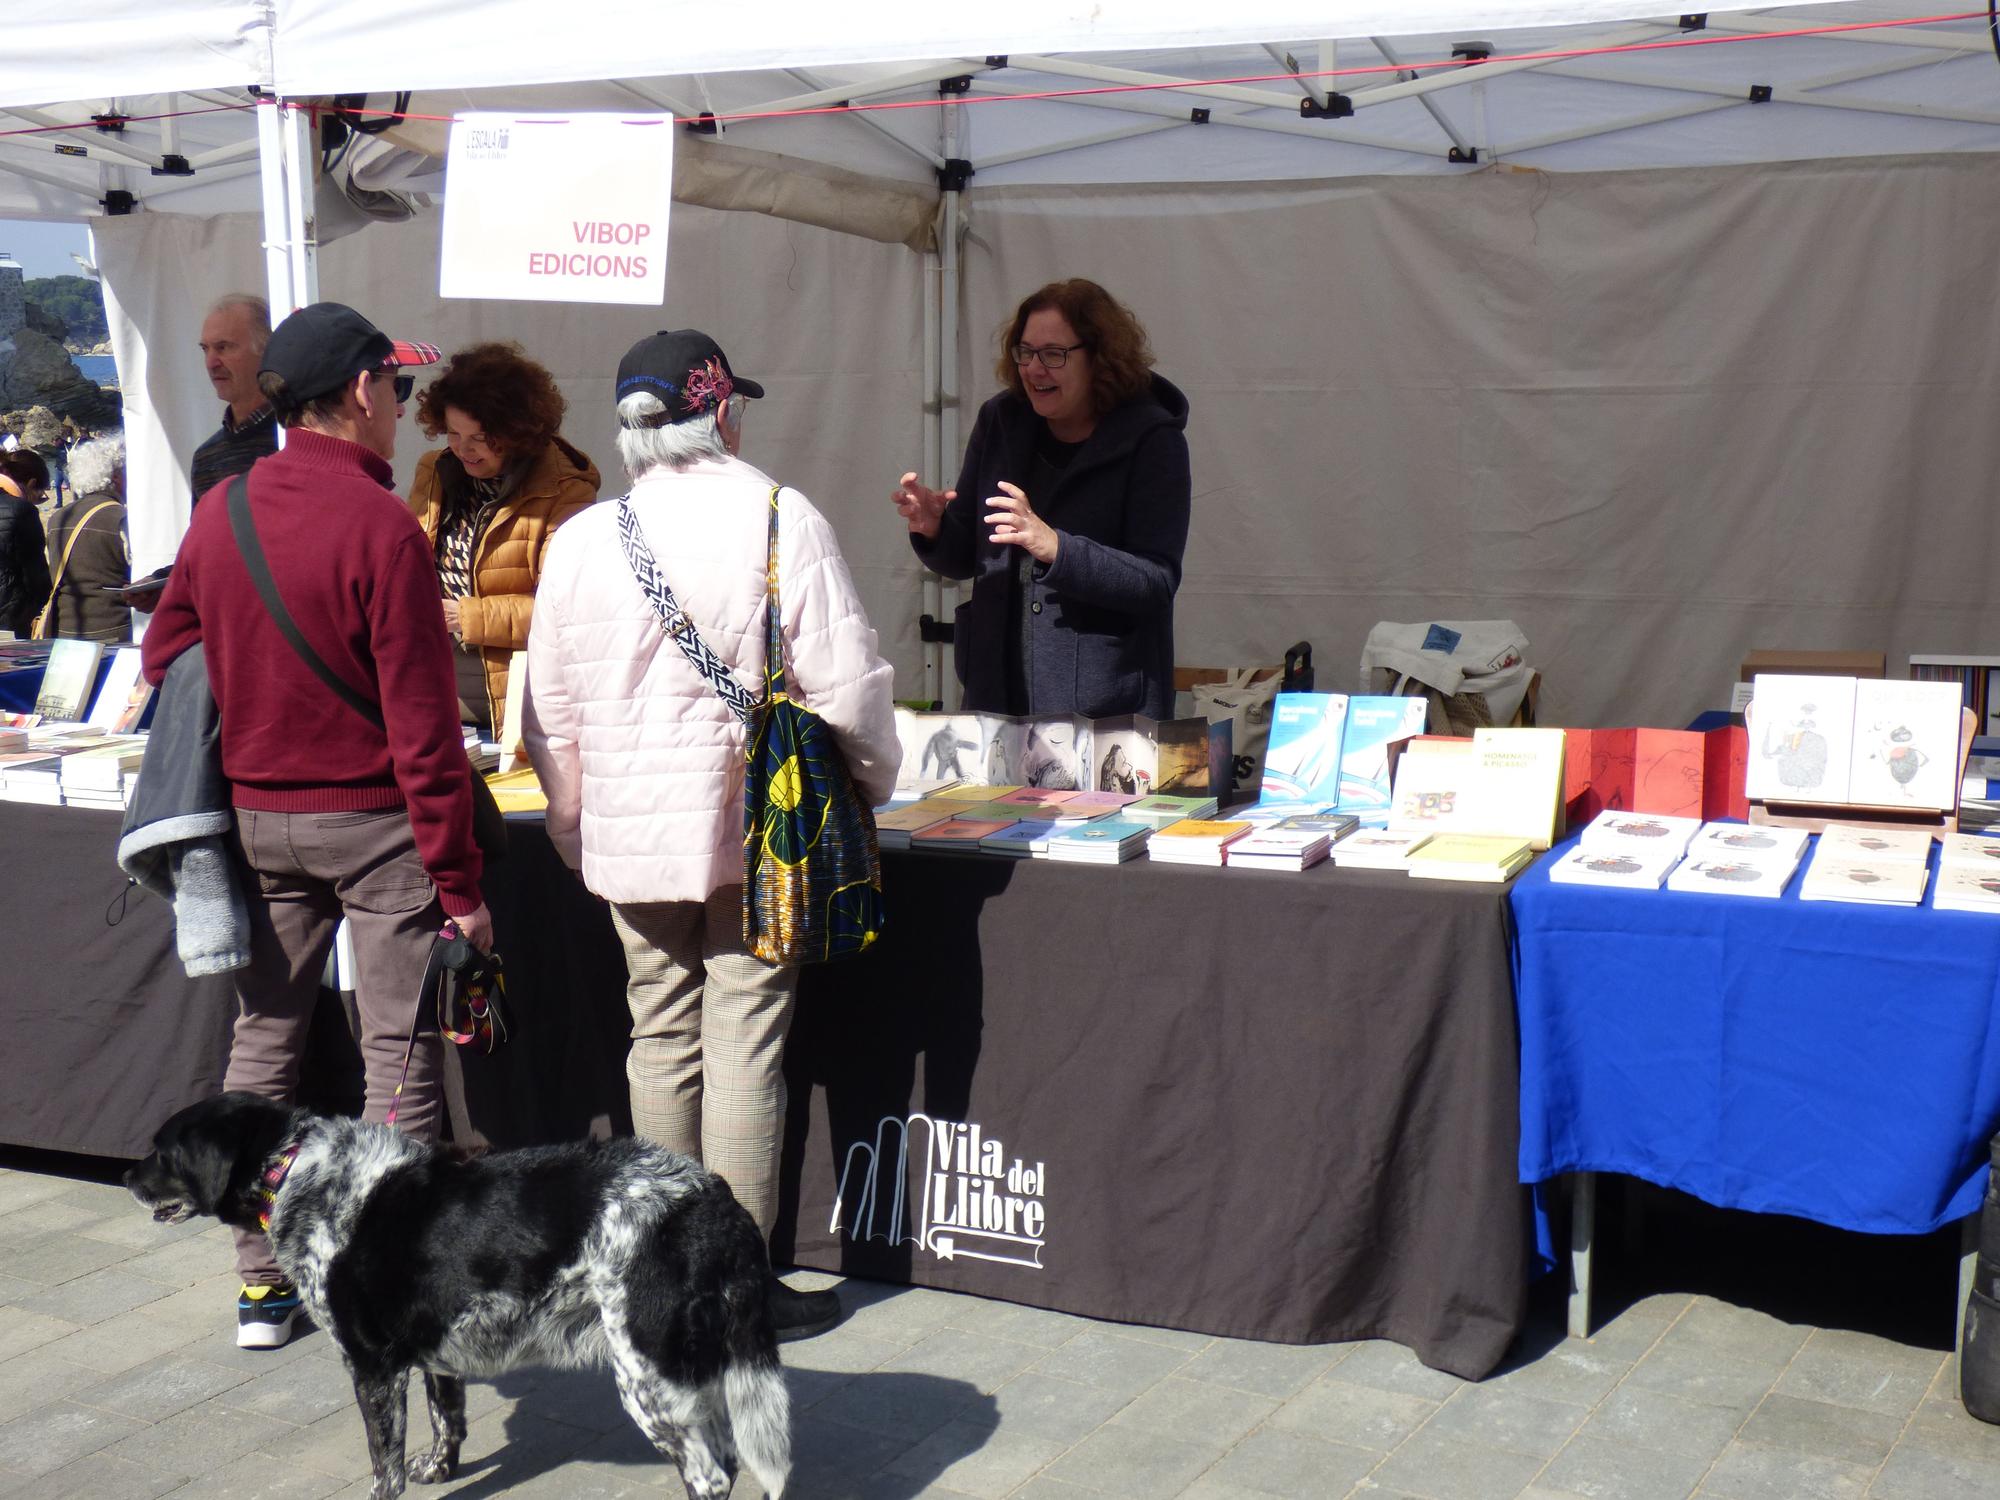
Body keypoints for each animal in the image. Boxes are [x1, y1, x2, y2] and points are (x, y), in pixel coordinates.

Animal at [125, 1096, 788, 1500]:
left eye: (162, 1150)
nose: (127, 1176)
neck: (292, 1170)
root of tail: (711, 1199)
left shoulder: (372, 1366)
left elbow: (384, 1460)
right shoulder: (436, 1350)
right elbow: (448, 1419)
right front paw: (440, 1470)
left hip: (648, 1374)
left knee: (711, 1473)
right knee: (727, 1453)